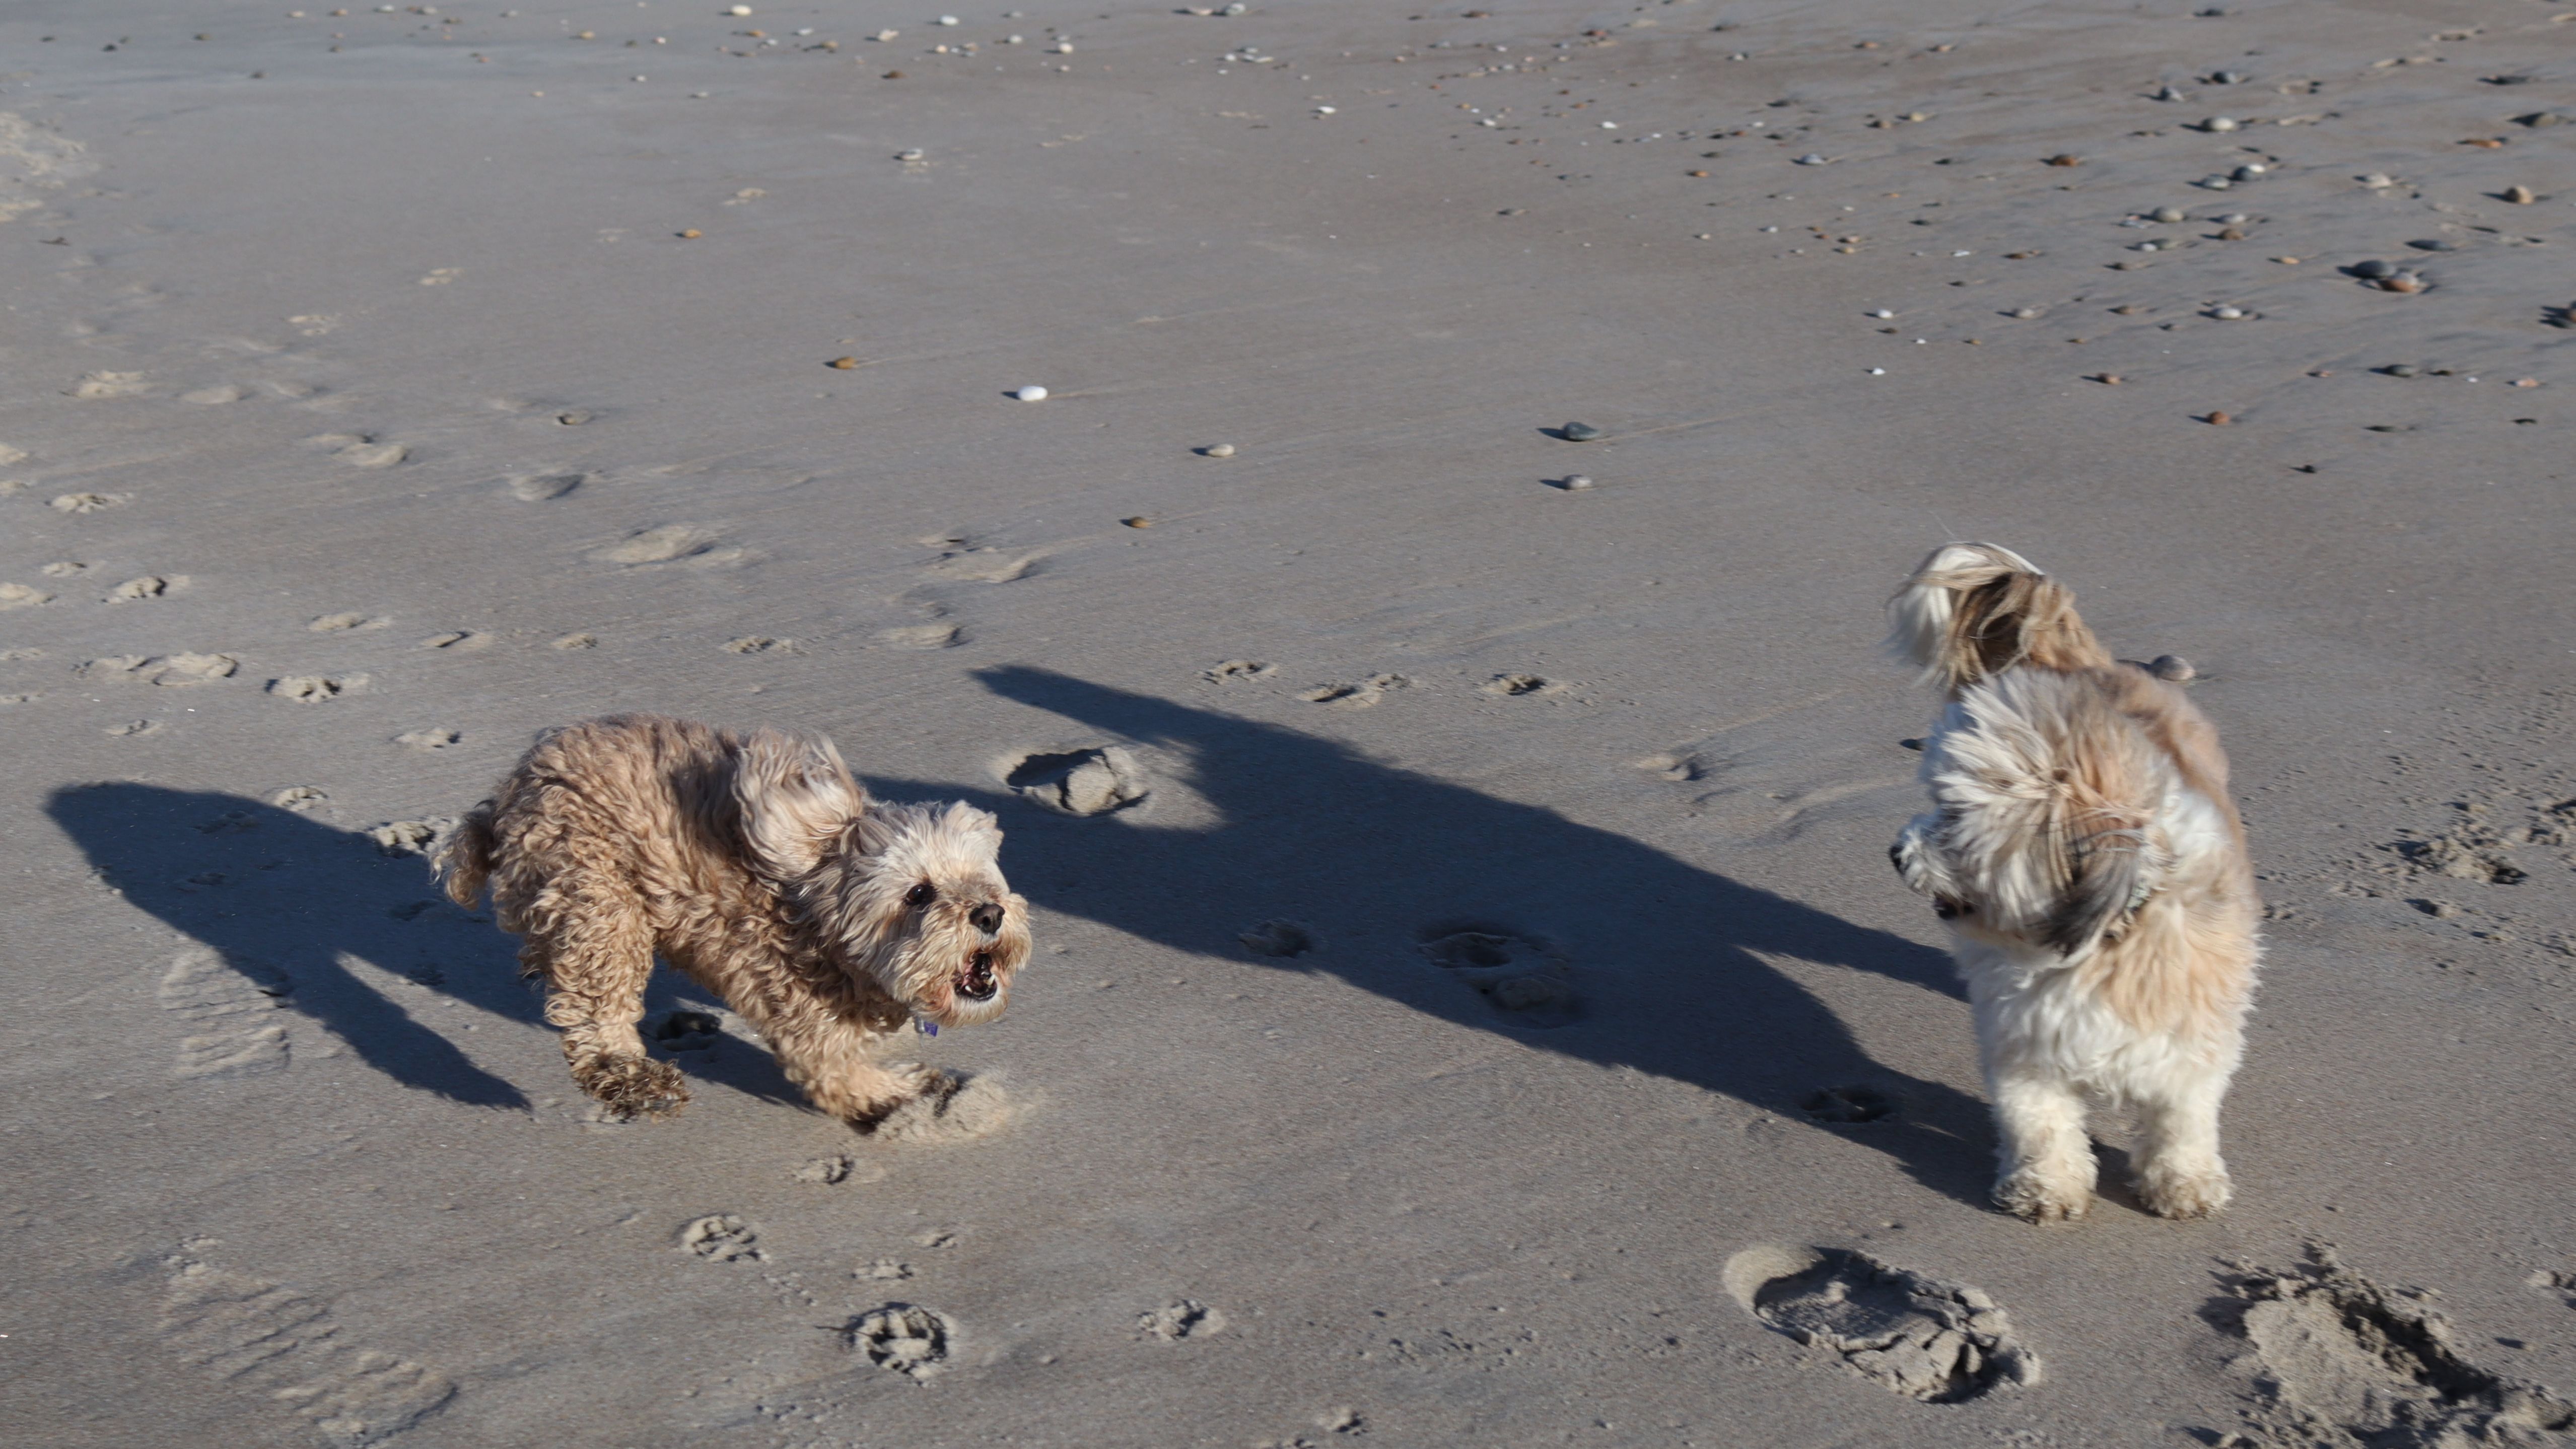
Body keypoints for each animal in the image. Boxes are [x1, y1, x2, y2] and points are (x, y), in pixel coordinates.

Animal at [437, 715, 1031, 1126]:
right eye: (918, 893)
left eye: (984, 881)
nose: (989, 913)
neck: (819, 921)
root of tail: (515, 786)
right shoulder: (797, 1005)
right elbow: (839, 1075)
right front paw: (923, 1096)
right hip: (598, 899)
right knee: (596, 1009)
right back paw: (633, 1078)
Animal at [1885, 544, 2258, 1222]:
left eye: (1952, 816)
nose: (1897, 853)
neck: (2103, 934)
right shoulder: (2025, 1043)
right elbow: (2039, 1118)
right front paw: (2046, 1186)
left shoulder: (2192, 1032)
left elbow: (2183, 1116)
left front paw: (2183, 1181)